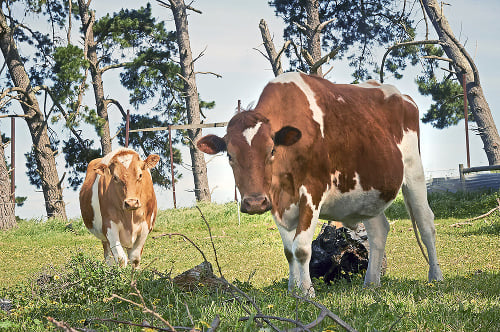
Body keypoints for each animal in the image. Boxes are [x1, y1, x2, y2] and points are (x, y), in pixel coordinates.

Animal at [197, 72, 444, 296]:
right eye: (229, 155)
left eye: (272, 150)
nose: (255, 202)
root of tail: (403, 96)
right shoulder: (276, 201)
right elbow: (288, 251)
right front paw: (292, 290)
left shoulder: (312, 192)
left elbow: (301, 249)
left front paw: (307, 292)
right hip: (368, 193)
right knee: (379, 231)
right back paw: (371, 283)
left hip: (413, 170)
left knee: (426, 223)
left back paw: (436, 277)